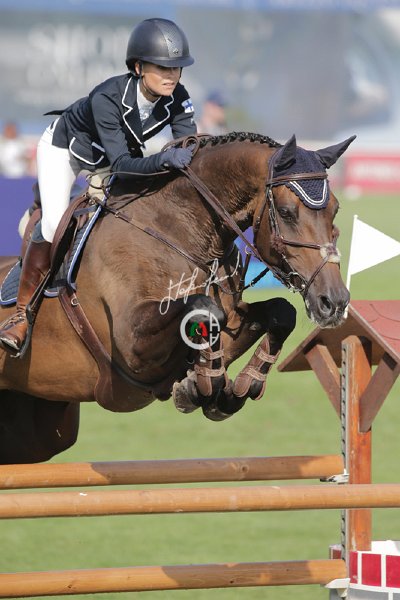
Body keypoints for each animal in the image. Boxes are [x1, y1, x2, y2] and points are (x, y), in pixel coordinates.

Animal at [0, 131, 353, 464]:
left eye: (336, 209)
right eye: (286, 212)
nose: (334, 301)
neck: (179, 231)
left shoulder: (235, 317)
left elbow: (279, 313)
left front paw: (237, 386)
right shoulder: (131, 348)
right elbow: (205, 308)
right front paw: (203, 383)